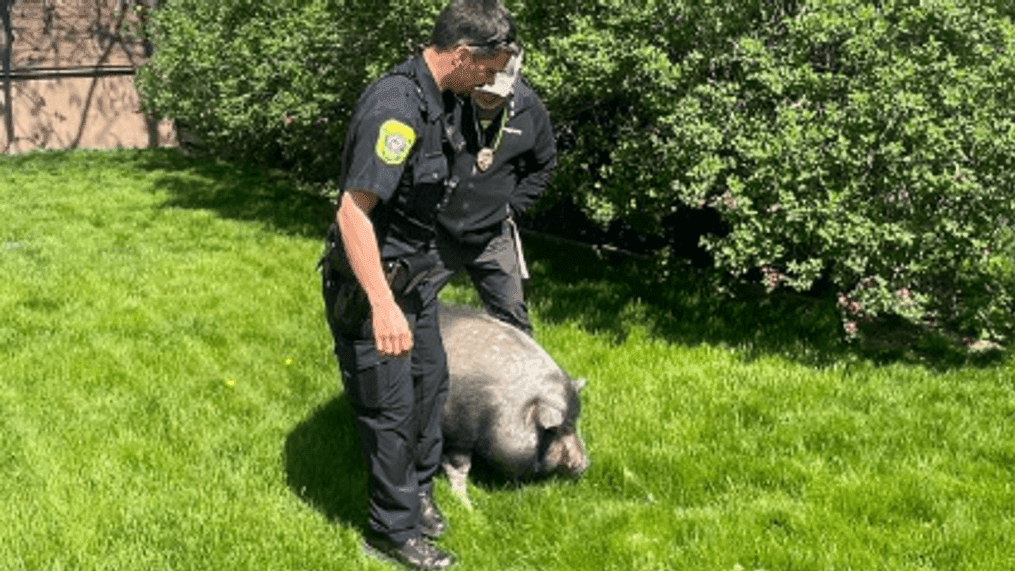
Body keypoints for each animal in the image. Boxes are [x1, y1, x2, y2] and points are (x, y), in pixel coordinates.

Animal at [436, 306, 588, 507]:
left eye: (574, 422)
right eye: (555, 430)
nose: (584, 463)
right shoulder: (457, 433)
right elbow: (459, 466)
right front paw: (468, 505)